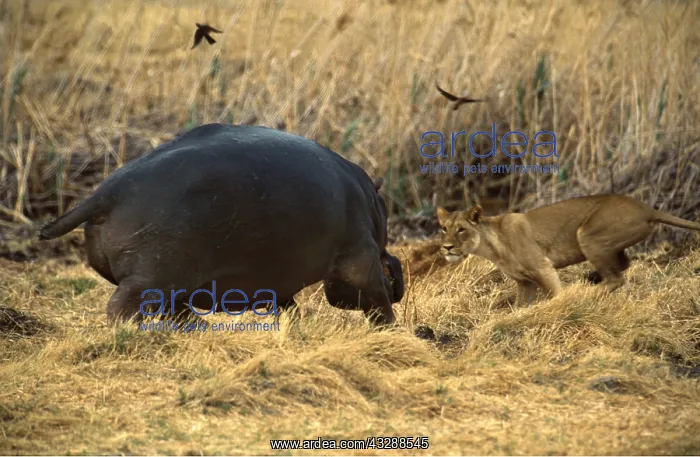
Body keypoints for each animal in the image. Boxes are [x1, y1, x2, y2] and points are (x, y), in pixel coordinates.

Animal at [39, 123, 404, 326]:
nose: (395, 268)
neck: (370, 202)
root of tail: (105, 193)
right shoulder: (361, 254)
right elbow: (376, 298)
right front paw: (391, 329)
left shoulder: (280, 277)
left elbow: (288, 307)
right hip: (152, 277)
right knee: (124, 308)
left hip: (170, 281)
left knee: (172, 311)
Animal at [436, 194, 700, 306]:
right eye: (443, 228)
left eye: (461, 230)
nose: (446, 247)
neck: (491, 245)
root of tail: (646, 208)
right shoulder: (524, 283)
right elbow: (519, 306)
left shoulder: (543, 267)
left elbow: (555, 294)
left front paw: (558, 306)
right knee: (623, 267)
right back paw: (590, 281)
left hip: (588, 234)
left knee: (616, 278)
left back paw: (581, 293)